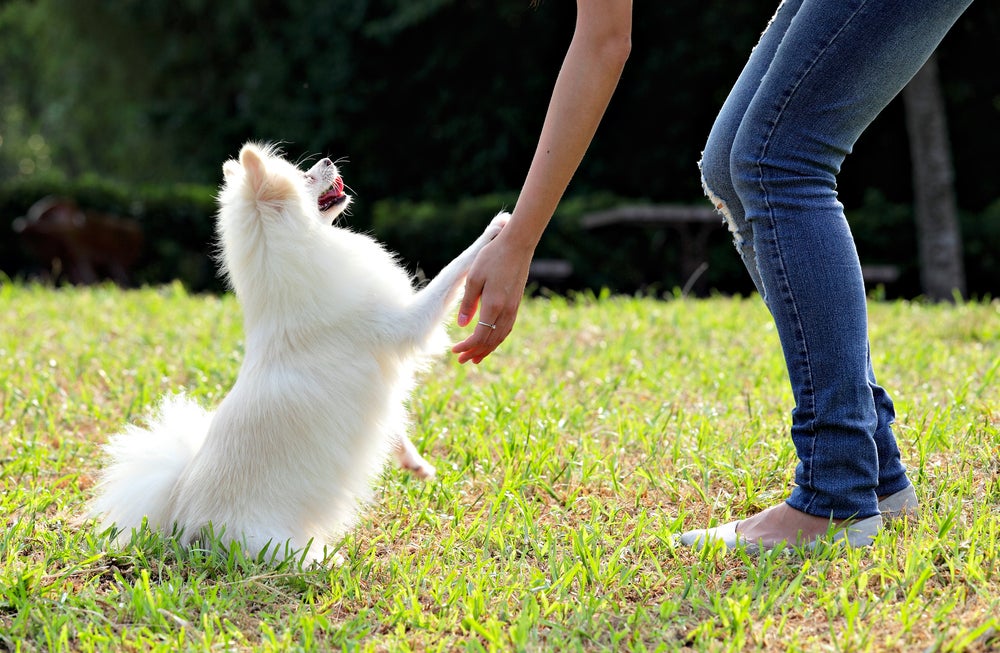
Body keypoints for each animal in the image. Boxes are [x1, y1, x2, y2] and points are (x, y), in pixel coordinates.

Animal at [89, 144, 504, 564]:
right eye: (306, 176)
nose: (329, 159)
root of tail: (181, 517)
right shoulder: (406, 324)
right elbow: (452, 271)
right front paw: (494, 229)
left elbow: (393, 426)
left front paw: (413, 462)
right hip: (274, 544)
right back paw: (328, 561)